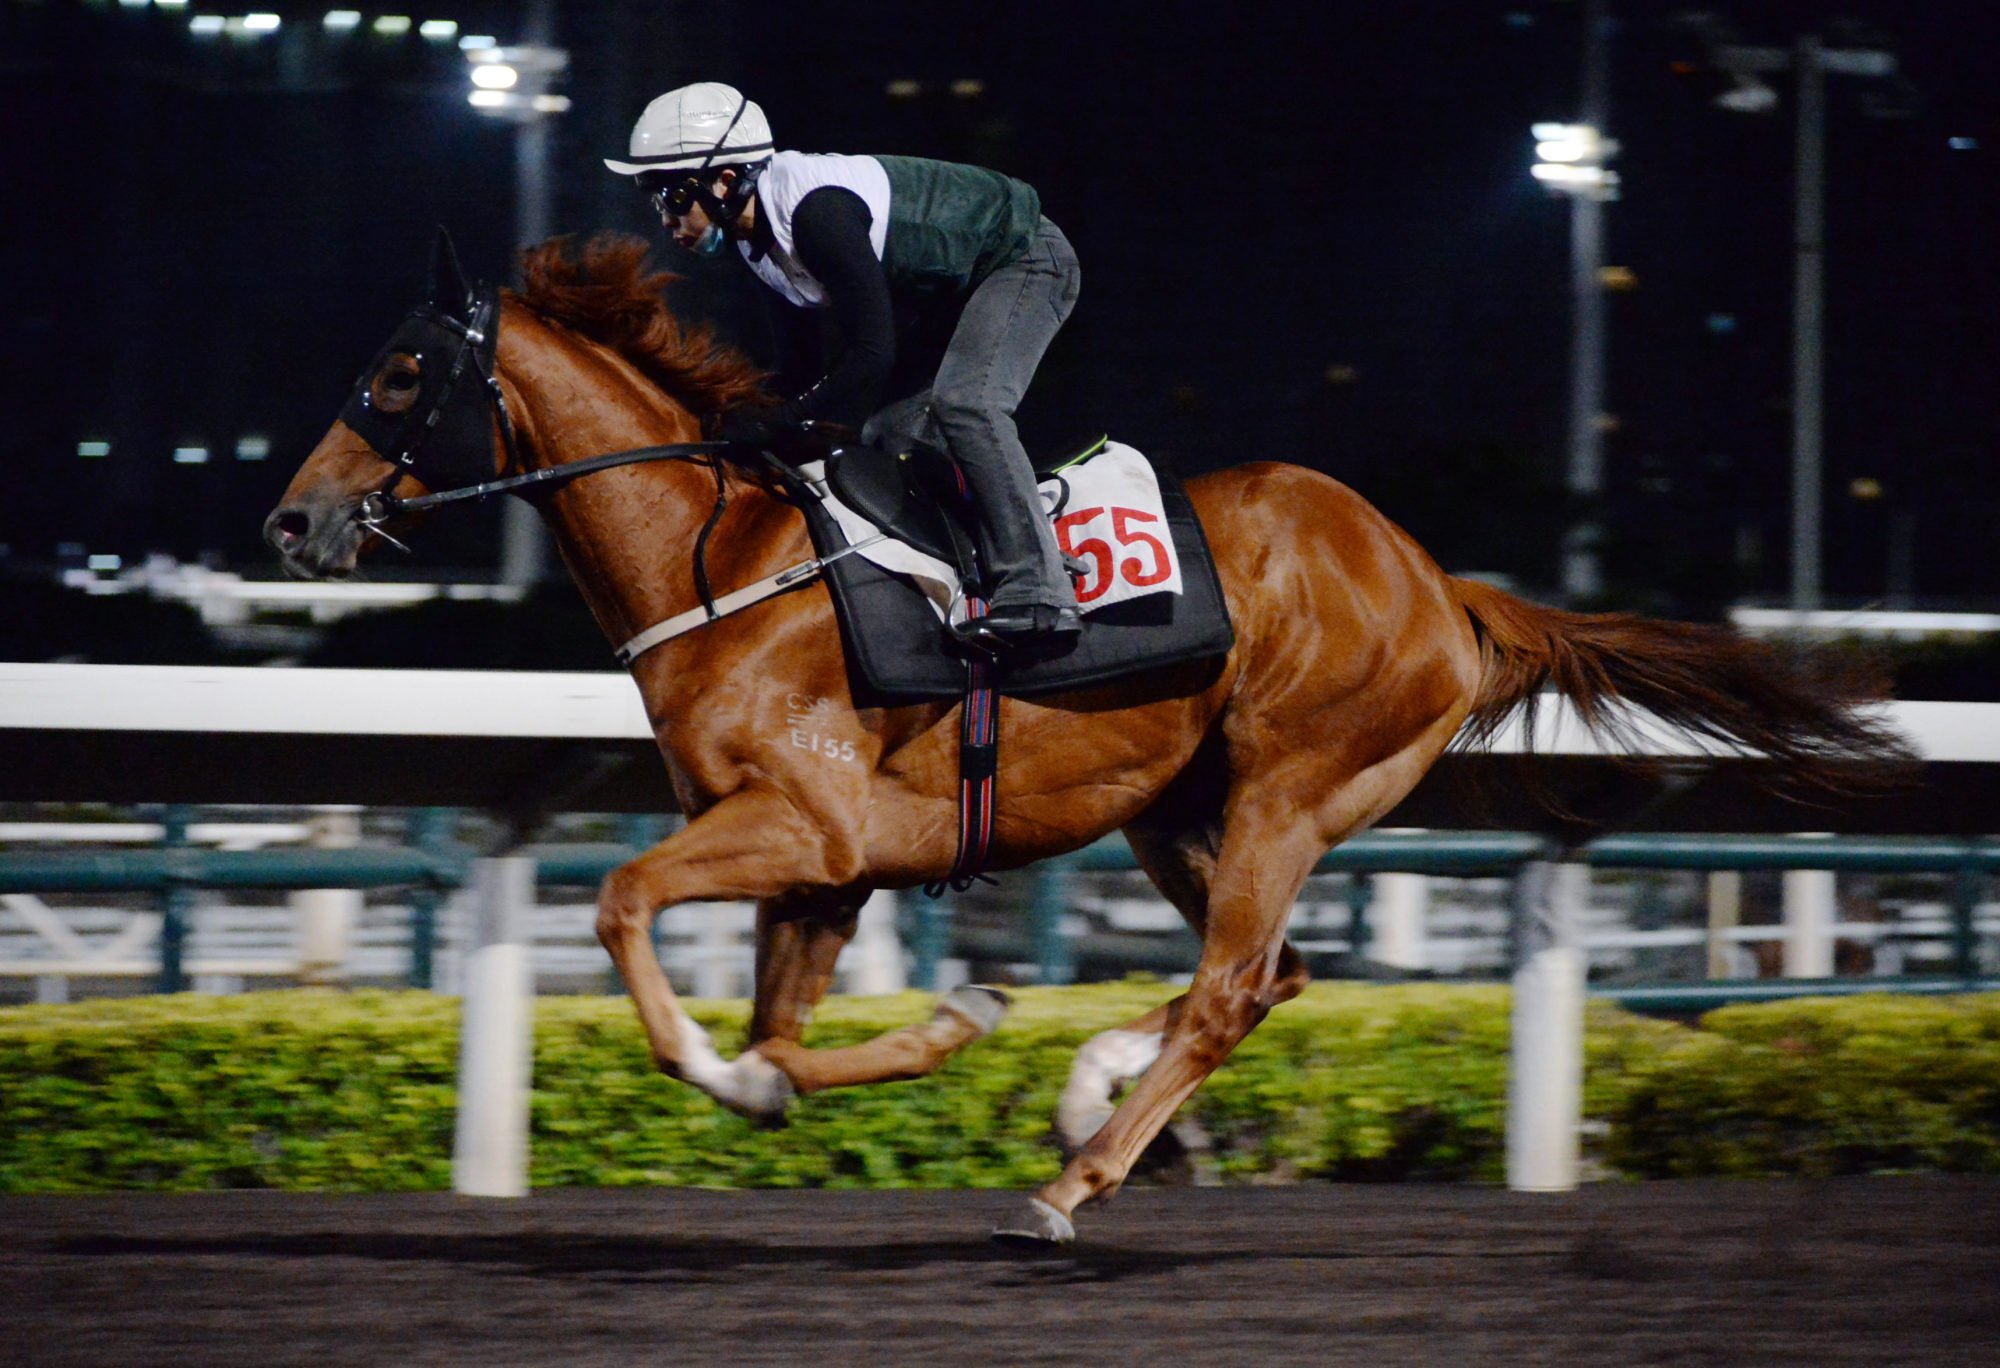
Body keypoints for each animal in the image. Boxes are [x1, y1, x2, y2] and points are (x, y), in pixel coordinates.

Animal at [266, 232, 1904, 1240]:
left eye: (401, 371)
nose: (292, 521)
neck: (722, 568)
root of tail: (1439, 580)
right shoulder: (829, 871)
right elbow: (790, 1039)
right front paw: (951, 1021)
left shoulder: (802, 827)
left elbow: (621, 909)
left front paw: (742, 1075)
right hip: (1180, 807)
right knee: (1265, 979)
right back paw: (1082, 1096)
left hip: (1293, 792)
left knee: (1236, 987)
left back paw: (1074, 1180)